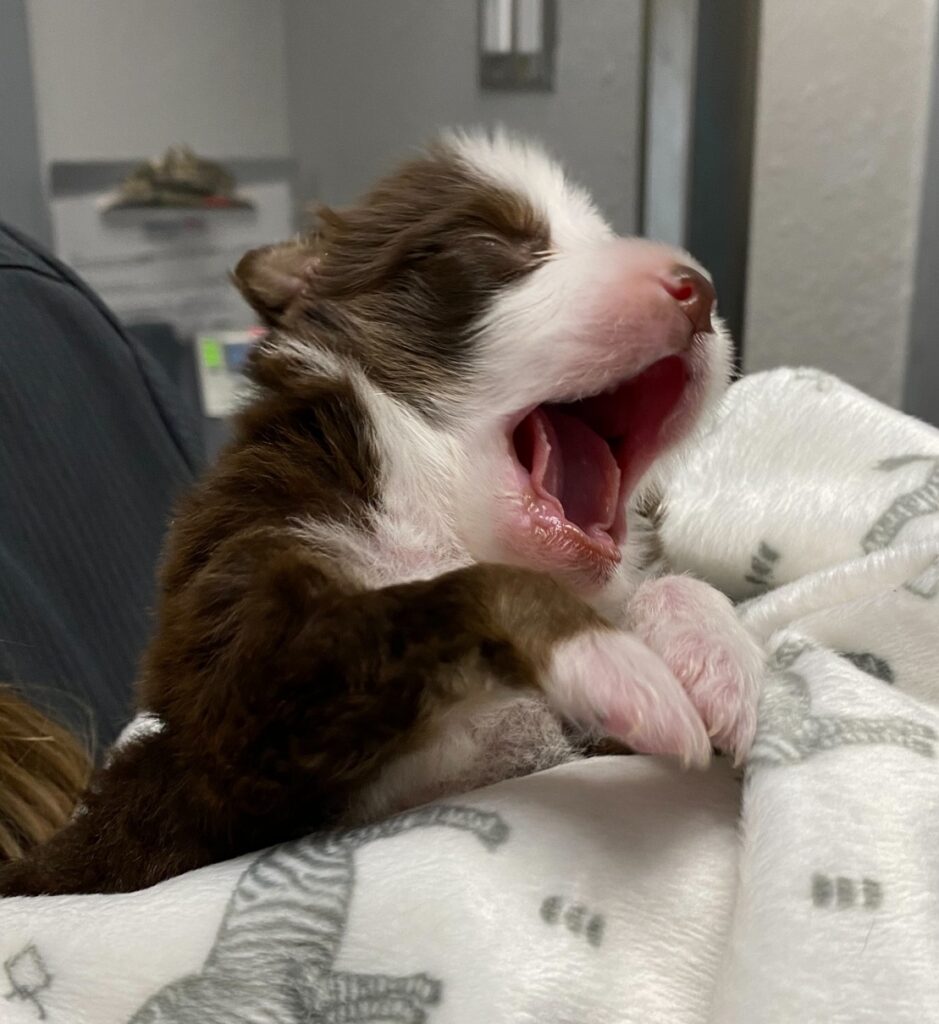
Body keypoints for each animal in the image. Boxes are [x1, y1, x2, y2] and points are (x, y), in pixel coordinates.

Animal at [0, 132, 761, 892]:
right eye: (493, 243)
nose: (699, 290)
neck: (432, 517)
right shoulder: (242, 702)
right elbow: (464, 593)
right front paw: (616, 662)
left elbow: (671, 582)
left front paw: (718, 660)